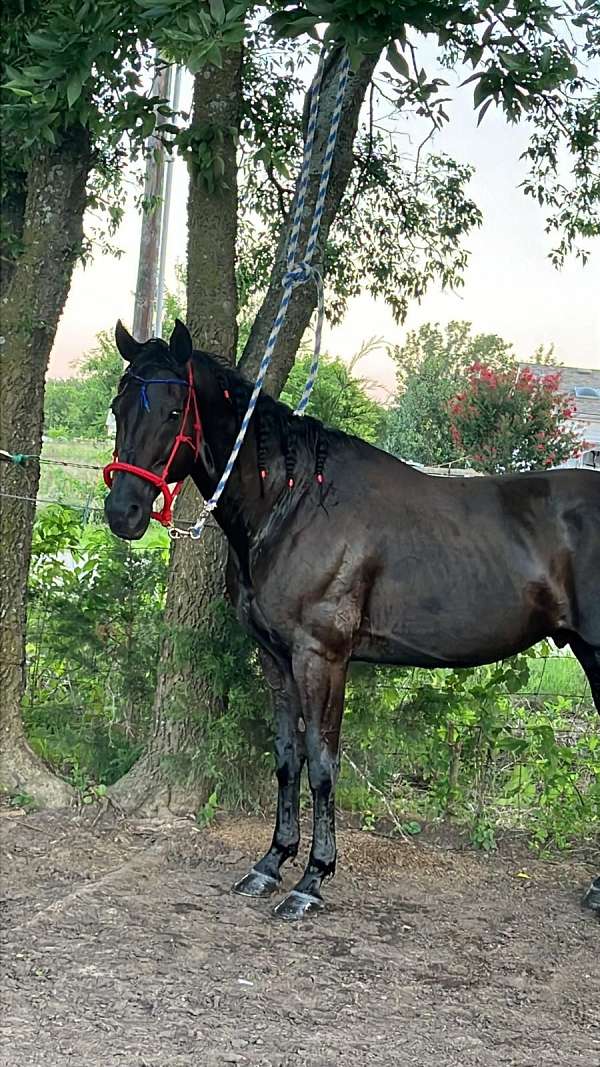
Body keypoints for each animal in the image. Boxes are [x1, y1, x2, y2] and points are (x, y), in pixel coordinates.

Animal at [104, 320, 600, 921]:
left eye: (175, 410)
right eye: (118, 407)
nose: (123, 512)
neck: (293, 503)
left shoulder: (322, 657)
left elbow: (322, 762)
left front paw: (312, 879)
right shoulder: (276, 656)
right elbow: (288, 757)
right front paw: (271, 863)